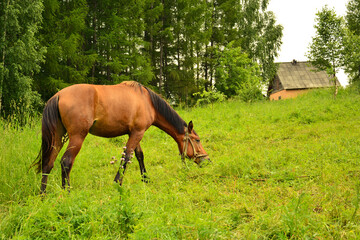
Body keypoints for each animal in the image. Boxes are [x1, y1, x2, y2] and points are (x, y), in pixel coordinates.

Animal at [34, 81, 208, 192]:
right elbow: (127, 157)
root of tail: (58, 95)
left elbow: (139, 155)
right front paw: (117, 183)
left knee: (48, 164)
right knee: (66, 162)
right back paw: (67, 192)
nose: (206, 159)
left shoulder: (135, 132)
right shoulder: (138, 132)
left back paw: (43, 194)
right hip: (77, 137)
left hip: (57, 138)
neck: (148, 101)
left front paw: (146, 179)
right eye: (197, 140)